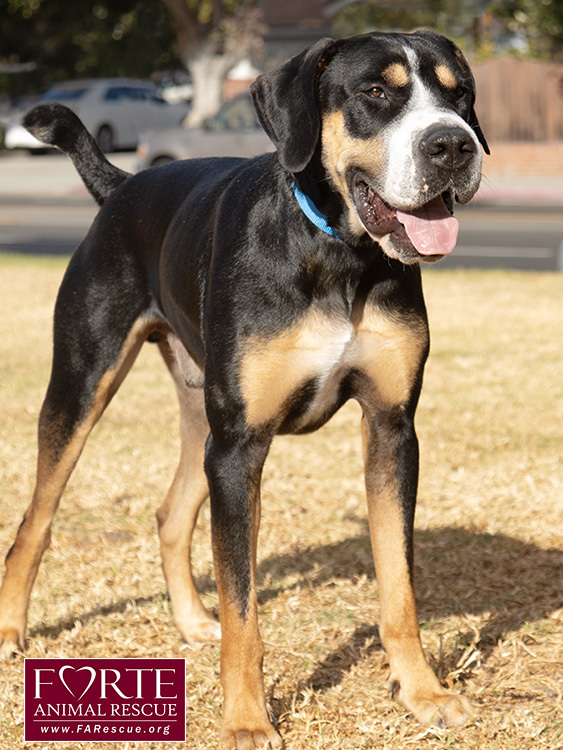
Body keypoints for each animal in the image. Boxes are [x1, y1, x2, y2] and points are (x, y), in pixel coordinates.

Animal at [1, 30, 490, 750]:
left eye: (461, 95)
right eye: (375, 91)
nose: (452, 145)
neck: (334, 253)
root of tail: (124, 183)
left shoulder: (392, 427)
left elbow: (399, 586)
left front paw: (422, 692)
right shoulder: (240, 447)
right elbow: (244, 608)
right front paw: (246, 721)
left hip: (201, 411)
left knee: (171, 514)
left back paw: (188, 621)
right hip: (85, 382)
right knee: (35, 522)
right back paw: (12, 630)